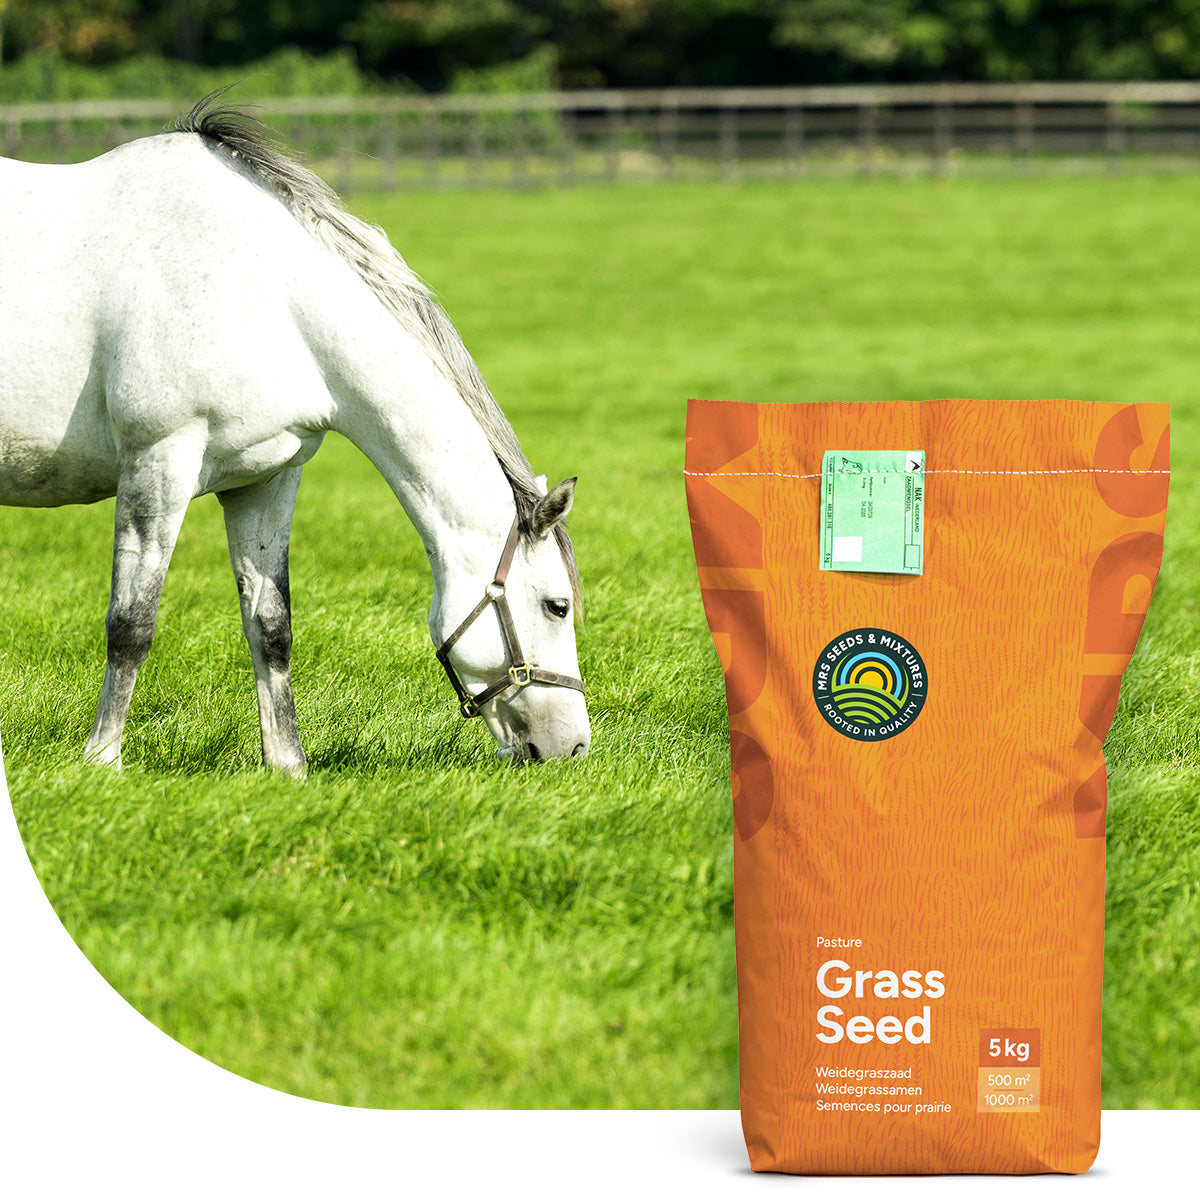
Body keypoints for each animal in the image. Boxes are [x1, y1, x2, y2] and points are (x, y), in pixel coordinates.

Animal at [0, 95, 590, 772]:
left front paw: (287, 766)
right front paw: (103, 761)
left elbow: (271, 626)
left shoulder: (267, 480)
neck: (265, 294)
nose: (573, 747)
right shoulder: (158, 464)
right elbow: (132, 625)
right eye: (557, 605)